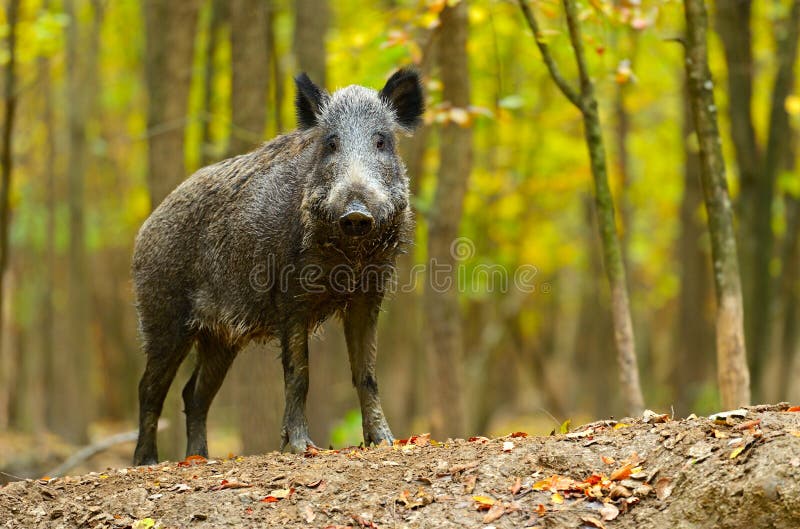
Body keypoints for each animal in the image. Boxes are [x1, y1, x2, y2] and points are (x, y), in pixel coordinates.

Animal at [132, 69, 424, 465]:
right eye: (331, 144)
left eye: (381, 142)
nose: (356, 213)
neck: (346, 259)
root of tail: (146, 226)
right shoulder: (291, 300)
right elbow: (299, 374)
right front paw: (301, 448)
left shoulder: (368, 296)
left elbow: (366, 373)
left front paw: (385, 442)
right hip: (163, 316)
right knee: (149, 388)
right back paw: (147, 462)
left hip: (220, 337)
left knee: (194, 392)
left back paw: (201, 458)